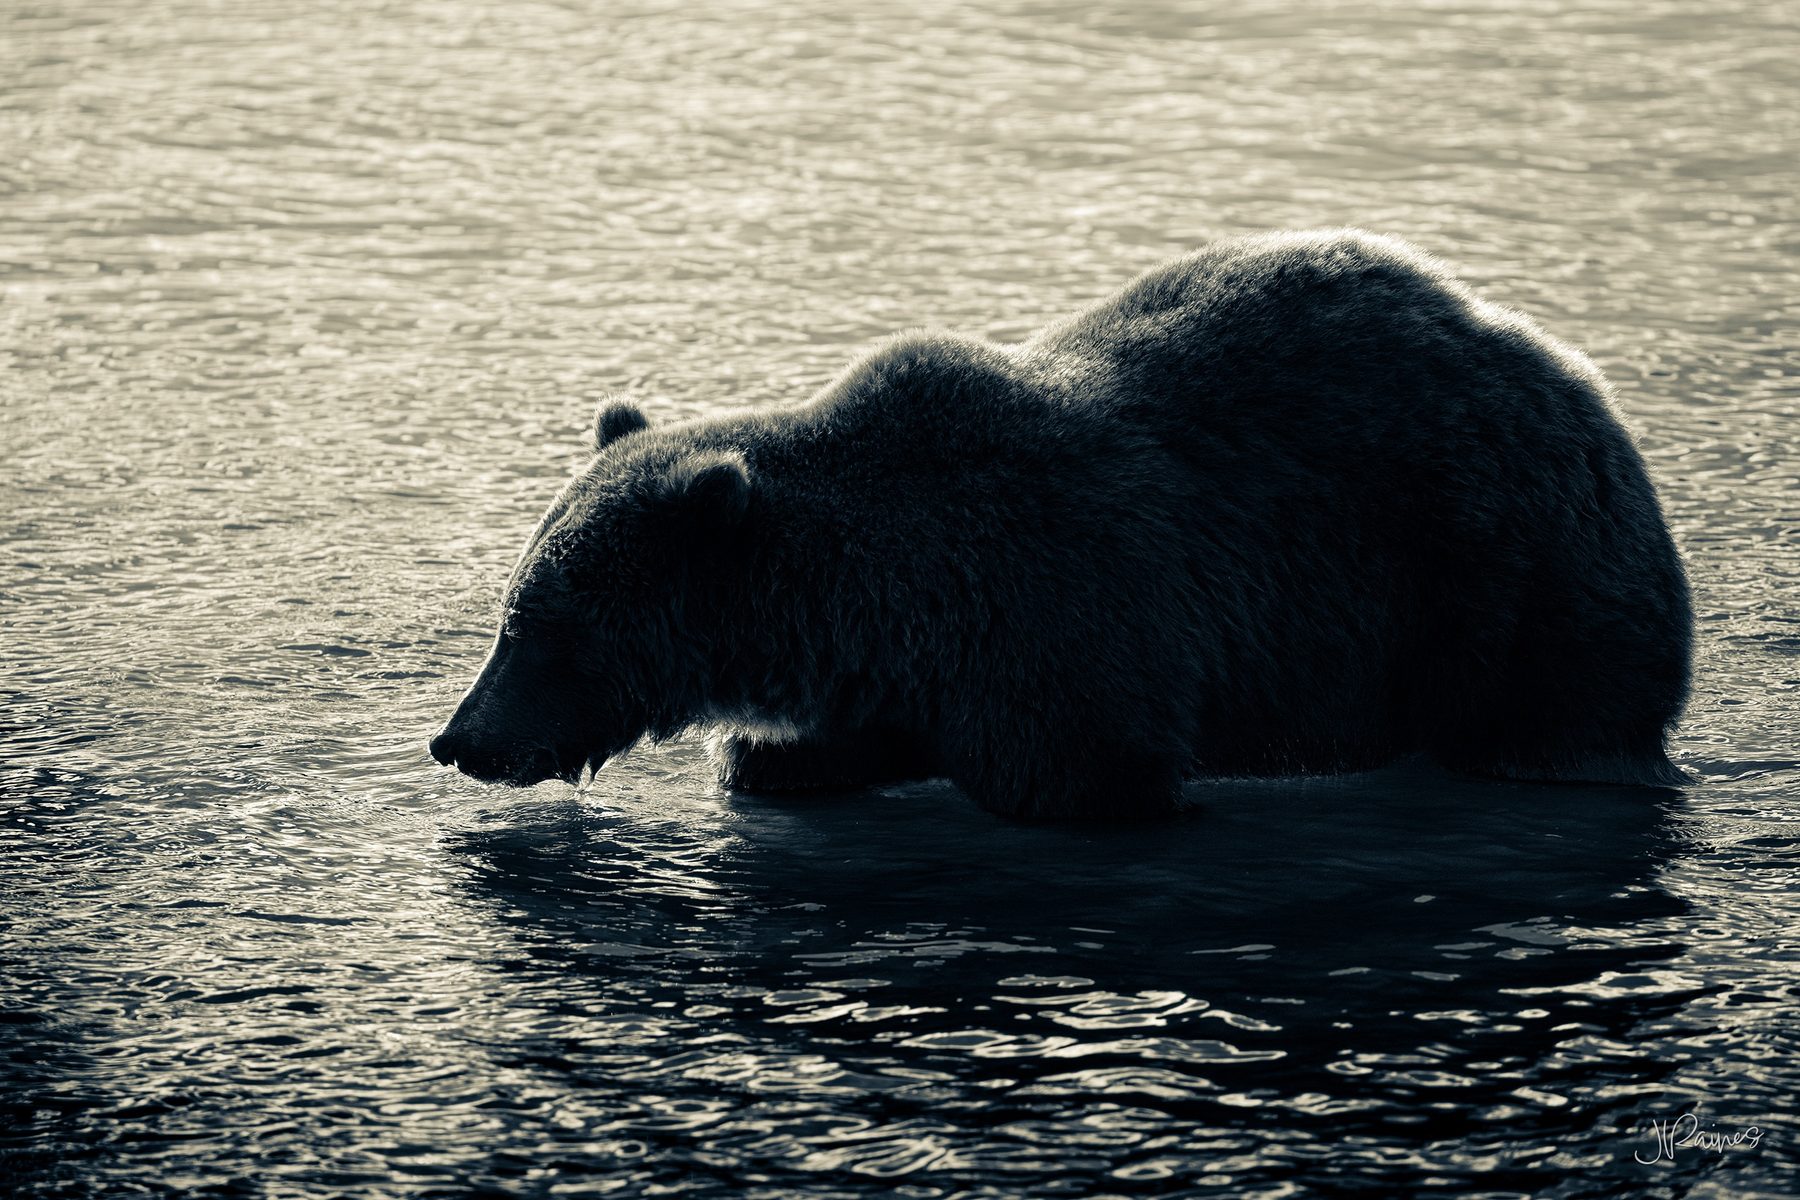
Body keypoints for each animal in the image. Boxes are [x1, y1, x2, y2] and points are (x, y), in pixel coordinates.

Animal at [428, 229, 1692, 820]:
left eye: (537, 630)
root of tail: (1581, 383)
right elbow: (816, 749)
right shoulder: (894, 673)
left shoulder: (1061, 622)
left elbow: (1084, 776)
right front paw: (773, 758)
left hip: (1502, 580)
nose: (457, 738)